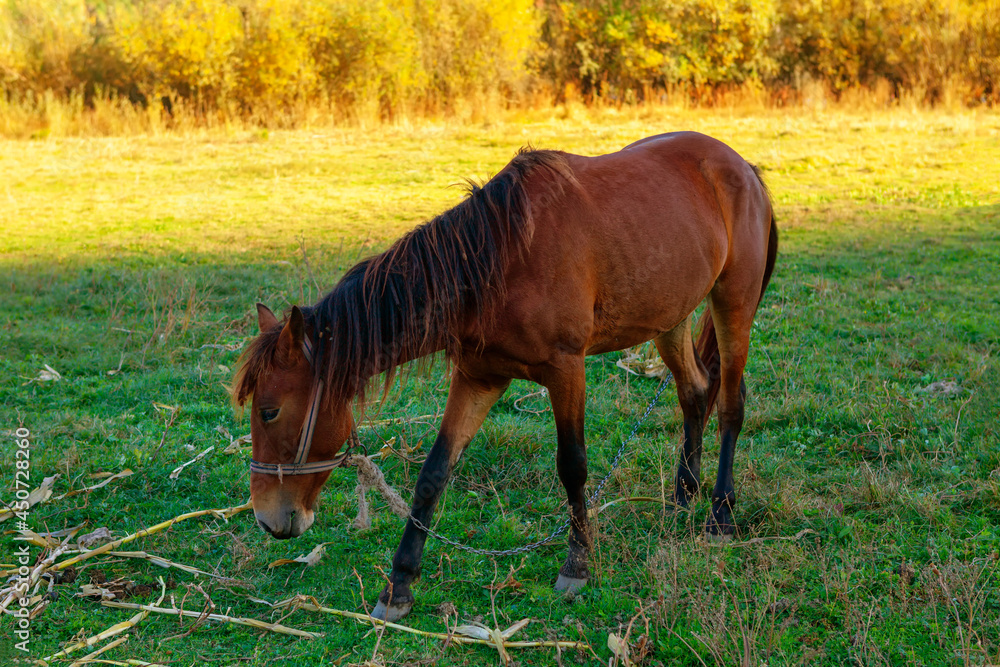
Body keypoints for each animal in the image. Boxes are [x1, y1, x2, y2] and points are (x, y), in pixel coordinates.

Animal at [232, 131, 778, 621]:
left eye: (270, 411)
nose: (267, 519)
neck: (499, 261)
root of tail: (743, 167)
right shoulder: (478, 378)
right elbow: (433, 474)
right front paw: (399, 585)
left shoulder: (566, 369)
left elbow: (573, 466)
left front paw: (577, 566)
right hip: (669, 318)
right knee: (694, 393)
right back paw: (683, 497)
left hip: (733, 304)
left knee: (729, 405)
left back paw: (720, 514)